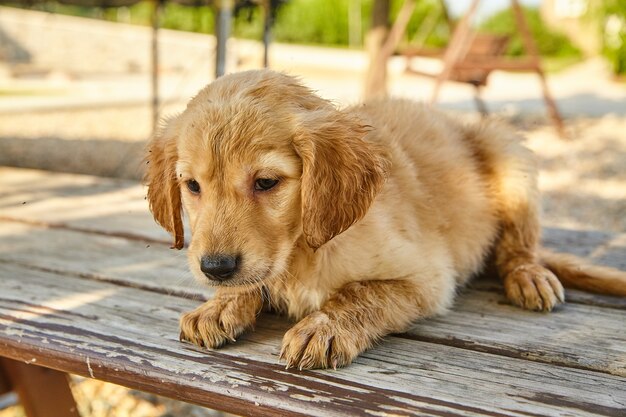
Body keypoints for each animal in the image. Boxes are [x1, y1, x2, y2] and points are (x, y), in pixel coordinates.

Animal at [146, 70, 624, 368]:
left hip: (507, 150)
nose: (216, 268)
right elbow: (256, 281)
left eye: (266, 182)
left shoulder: (428, 277)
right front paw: (219, 305)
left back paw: (529, 274)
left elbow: (363, 293)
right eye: (192, 186)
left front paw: (325, 326)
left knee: (519, 245)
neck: (303, 251)